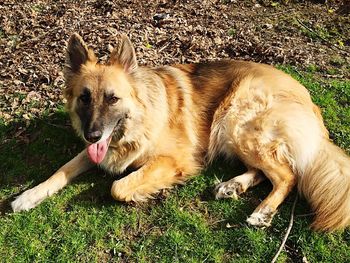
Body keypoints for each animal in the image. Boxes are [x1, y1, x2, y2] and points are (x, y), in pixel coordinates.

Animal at [10, 33, 350, 233]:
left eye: (112, 98)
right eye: (84, 98)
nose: (92, 135)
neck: (136, 124)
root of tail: (308, 99)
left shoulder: (174, 160)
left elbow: (118, 186)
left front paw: (140, 191)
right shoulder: (95, 151)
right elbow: (61, 170)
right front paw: (28, 196)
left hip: (235, 120)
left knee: (287, 175)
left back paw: (261, 211)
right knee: (266, 170)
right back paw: (234, 186)